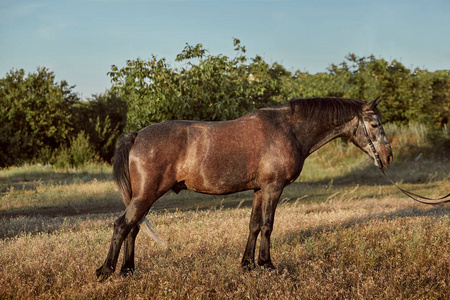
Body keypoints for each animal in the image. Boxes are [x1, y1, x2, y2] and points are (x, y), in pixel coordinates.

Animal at [96, 96, 394, 282]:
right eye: (375, 124)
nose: (388, 156)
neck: (288, 129)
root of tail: (137, 135)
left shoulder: (259, 190)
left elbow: (253, 225)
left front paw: (247, 264)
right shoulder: (273, 188)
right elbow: (267, 226)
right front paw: (267, 264)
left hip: (142, 197)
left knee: (132, 229)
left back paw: (127, 270)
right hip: (146, 196)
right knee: (121, 226)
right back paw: (106, 270)